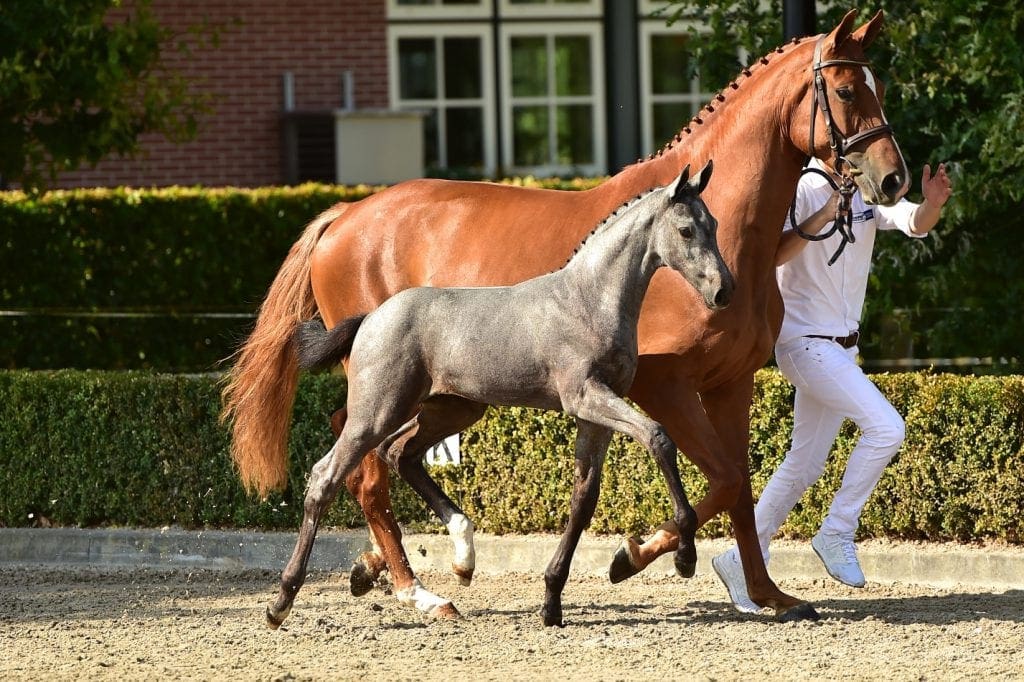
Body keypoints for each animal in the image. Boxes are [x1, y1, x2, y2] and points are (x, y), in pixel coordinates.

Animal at [264, 162, 732, 628]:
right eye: (686, 230)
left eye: (715, 224)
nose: (723, 290)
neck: (586, 300)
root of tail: (371, 317)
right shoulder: (585, 396)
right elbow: (658, 437)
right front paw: (686, 558)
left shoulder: (594, 414)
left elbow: (583, 499)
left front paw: (551, 602)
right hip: (378, 410)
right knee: (326, 475)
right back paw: (281, 601)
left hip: (451, 409)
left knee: (401, 454)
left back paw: (462, 558)